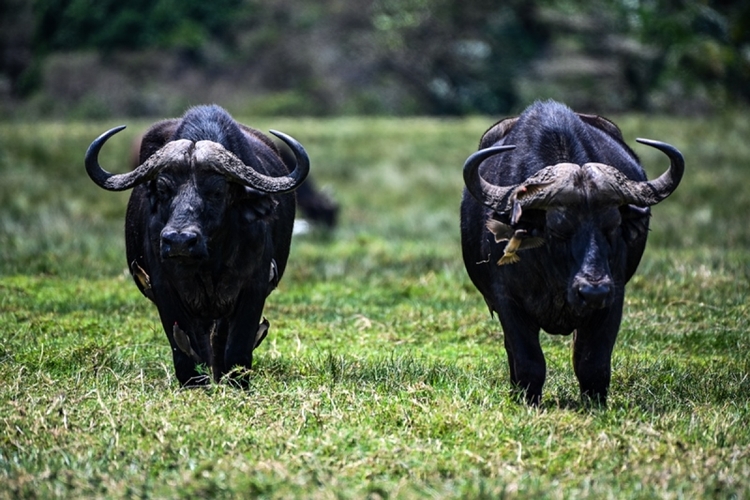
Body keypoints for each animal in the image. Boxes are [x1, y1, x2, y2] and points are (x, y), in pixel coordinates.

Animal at [86, 104, 310, 386]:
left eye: (217, 191)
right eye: (163, 189)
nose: (179, 241)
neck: (208, 265)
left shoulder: (253, 286)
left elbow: (238, 345)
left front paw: (236, 382)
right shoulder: (165, 288)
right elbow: (184, 345)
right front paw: (195, 382)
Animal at [462, 99, 684, 404]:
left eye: (612, 226)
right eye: (558, 229)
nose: (593, 291)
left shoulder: (613, 299)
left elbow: (592, 361)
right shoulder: (506, 300)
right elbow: (528, 360)